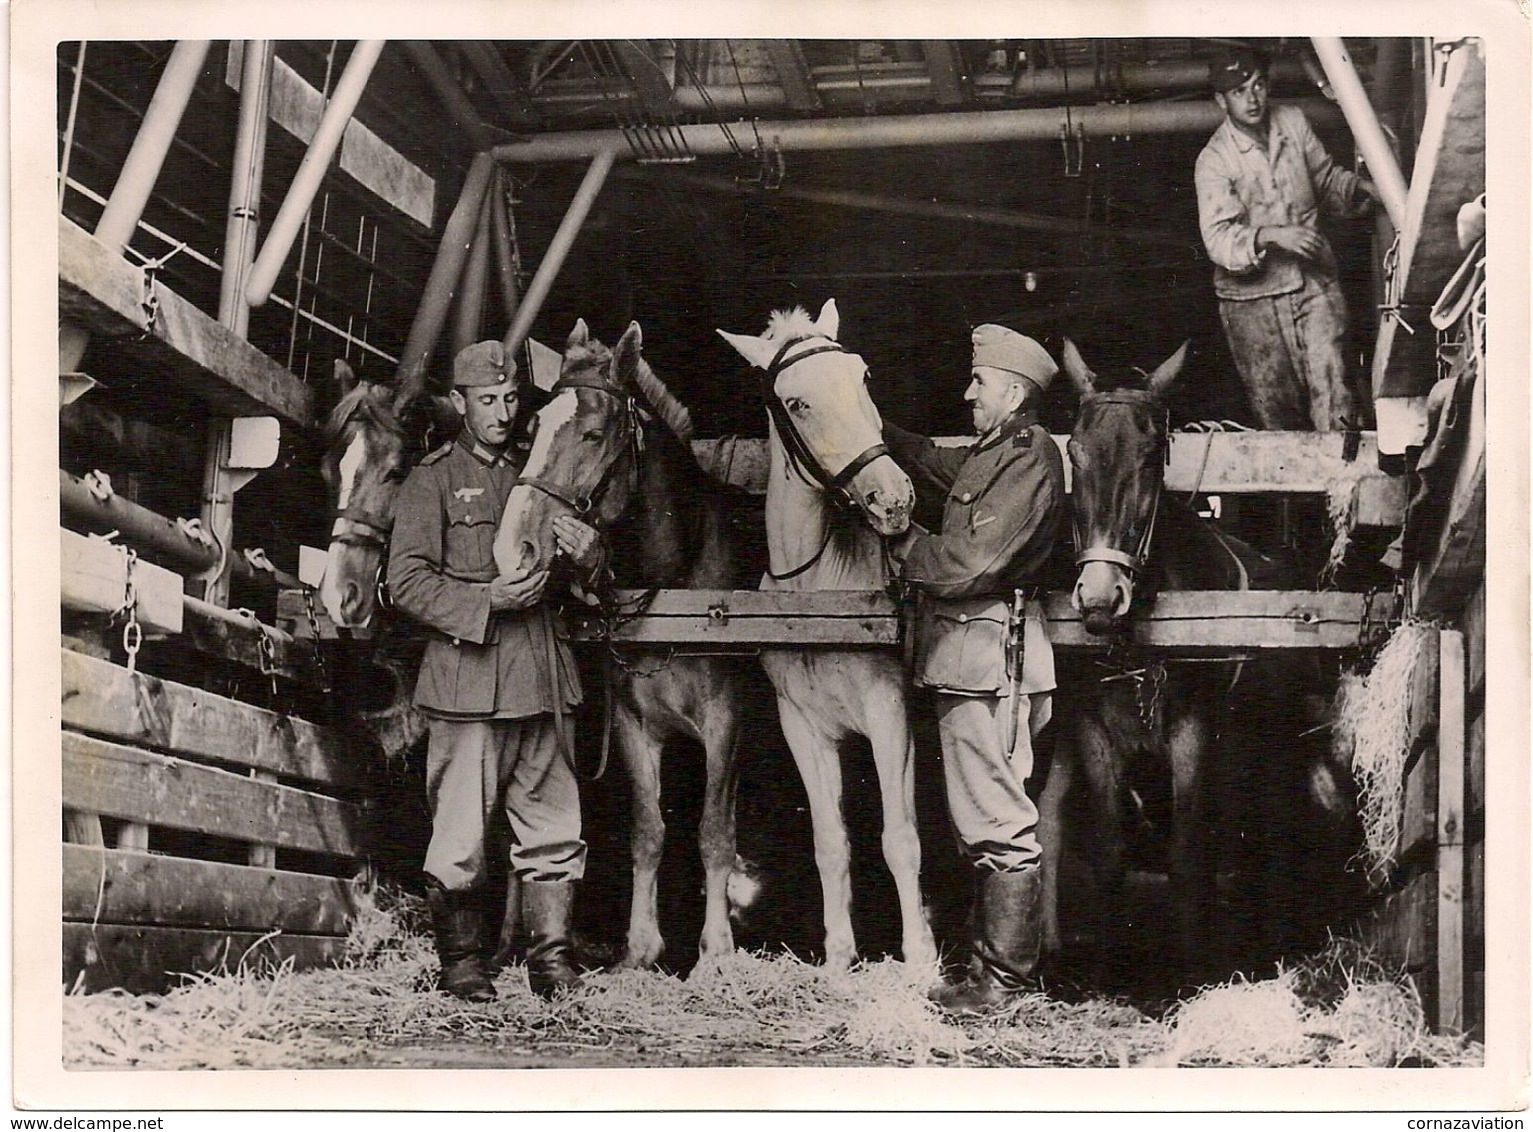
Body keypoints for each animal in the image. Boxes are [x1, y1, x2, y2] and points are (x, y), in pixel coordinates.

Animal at [493, 319, 745, 969]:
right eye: (531, 430)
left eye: (592, 433)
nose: (514, 549)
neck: (678, 587)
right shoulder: (634, 726)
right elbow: (648, 831)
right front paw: (640, 947)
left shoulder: (725, 722)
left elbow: (714, 831)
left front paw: (716, 952)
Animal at [714, 300, 932, 969]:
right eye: (797, 402)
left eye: (862, 377)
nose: (892, 499)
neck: (819, 594)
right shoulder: (803, 727)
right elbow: (830, 842)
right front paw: (839, 957)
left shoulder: (890, 715)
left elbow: (900, 838)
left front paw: (920, 959)